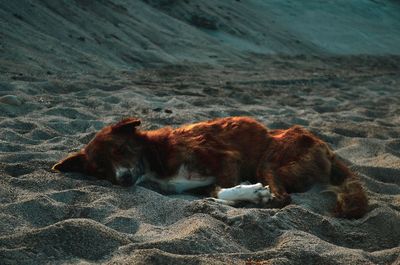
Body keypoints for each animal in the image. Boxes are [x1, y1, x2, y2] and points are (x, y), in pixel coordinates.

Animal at [52, 116, 368, 218]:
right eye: (102, 170)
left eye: (120, 149)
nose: (124, 179)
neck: (155, 158)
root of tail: (327, 147)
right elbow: (215, 192)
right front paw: (245, 195)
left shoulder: (227, 158)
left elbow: (221, 190)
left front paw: (251, 194)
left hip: (270, 161)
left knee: (284, 198)